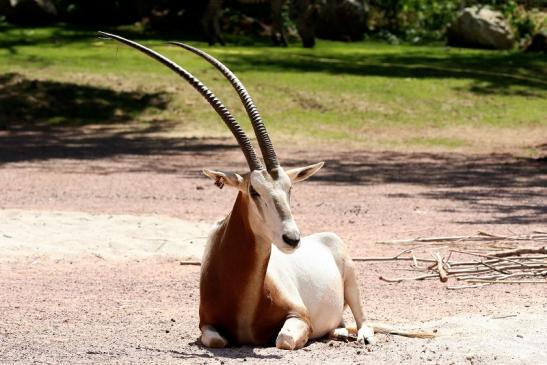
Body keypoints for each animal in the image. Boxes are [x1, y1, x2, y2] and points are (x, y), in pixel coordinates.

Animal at [100, 32, 434, 350]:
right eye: (255, 191)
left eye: (290, 188)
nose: (292, 239)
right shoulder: (205, 324)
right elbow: (218, 339)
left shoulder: (300, 316)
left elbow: (283, 339)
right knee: (341, 324)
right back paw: (338, 333)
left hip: (352, 279)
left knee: (364, 322)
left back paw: (358, 335)